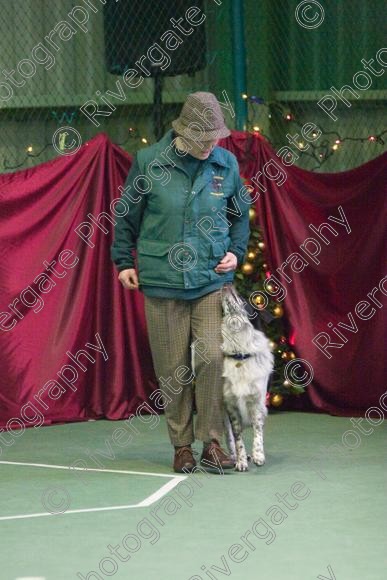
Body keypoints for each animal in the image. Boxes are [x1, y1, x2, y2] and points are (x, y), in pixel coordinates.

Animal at [221, 286, 276, 472]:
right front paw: (240, 461)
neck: (240, 355)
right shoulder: (230, 406)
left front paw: (258, 455)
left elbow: (258, 431)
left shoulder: (257, 402)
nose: (227, 285)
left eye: (243, 299)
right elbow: (237, 438)